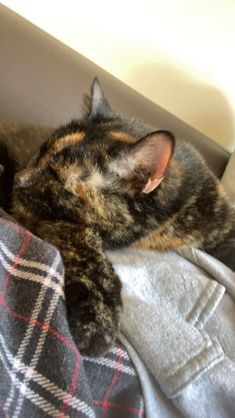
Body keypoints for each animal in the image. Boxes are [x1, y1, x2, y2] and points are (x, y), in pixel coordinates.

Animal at [2, 77, 235, 356]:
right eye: (39, 153)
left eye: (55, 175)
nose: (18, 180)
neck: (158, 231)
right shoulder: (39, 215)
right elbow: (82, 240)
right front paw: (97, 315)